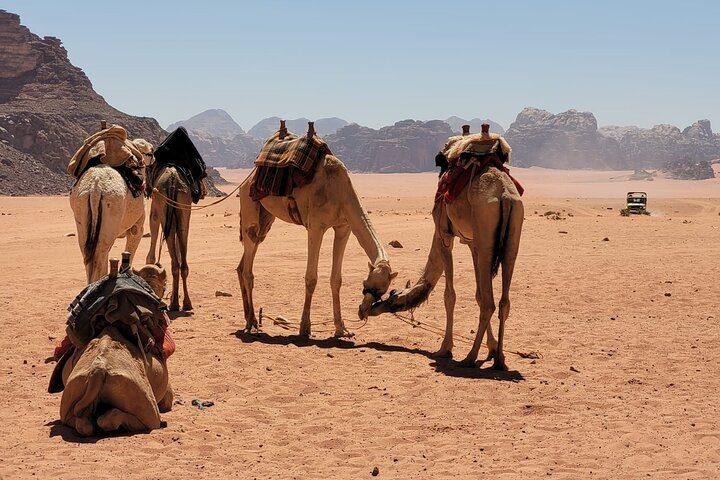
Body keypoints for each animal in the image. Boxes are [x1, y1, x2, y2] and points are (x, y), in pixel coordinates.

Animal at [57, 263, 173, 436]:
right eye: (164, 287)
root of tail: (98, 372)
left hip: (72, 392)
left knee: (81, 423)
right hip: (142, 400)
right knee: (149, 420)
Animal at [69, 129, 155, 283]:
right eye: (149, 151)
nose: (154, 156)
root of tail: (96, 187)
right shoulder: (137, 226)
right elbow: (131, 250)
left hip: (82, 212)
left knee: (88, 255)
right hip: (112, 211)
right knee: (100, 254)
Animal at [238, 121, 397, 337]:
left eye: (383, 291)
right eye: (367, 284)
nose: (362, 311)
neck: (341, 192)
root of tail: (248, 178)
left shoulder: (344, 227)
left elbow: (336, 279)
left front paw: (341, 329)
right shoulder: (315, 227)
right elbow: (311, 278)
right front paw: (305, 328)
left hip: (266, 217)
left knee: (242, 264)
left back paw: (249, 319)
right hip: (249, 204)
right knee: (248, 265)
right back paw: (252, 323)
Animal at [368, 125, 524, 370]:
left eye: (393, 296)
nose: (371, 308)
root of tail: (505, 195)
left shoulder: (444, 234)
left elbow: (450, 295)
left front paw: (445, 348)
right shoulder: (473, 243)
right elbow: (478, 294)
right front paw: (490, 349)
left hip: (487, 235)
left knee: (490, 304)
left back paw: (470, 357)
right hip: (510, 238)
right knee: (503, 302)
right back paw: (500, 359)